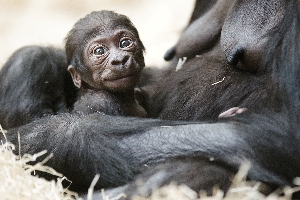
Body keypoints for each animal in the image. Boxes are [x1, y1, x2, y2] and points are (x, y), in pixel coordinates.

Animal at [0, 0, 300, 198]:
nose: (120, 60)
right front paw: (33, 66)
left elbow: (283, 133)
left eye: (125, 43)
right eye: (99, 51)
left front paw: (36, 138)